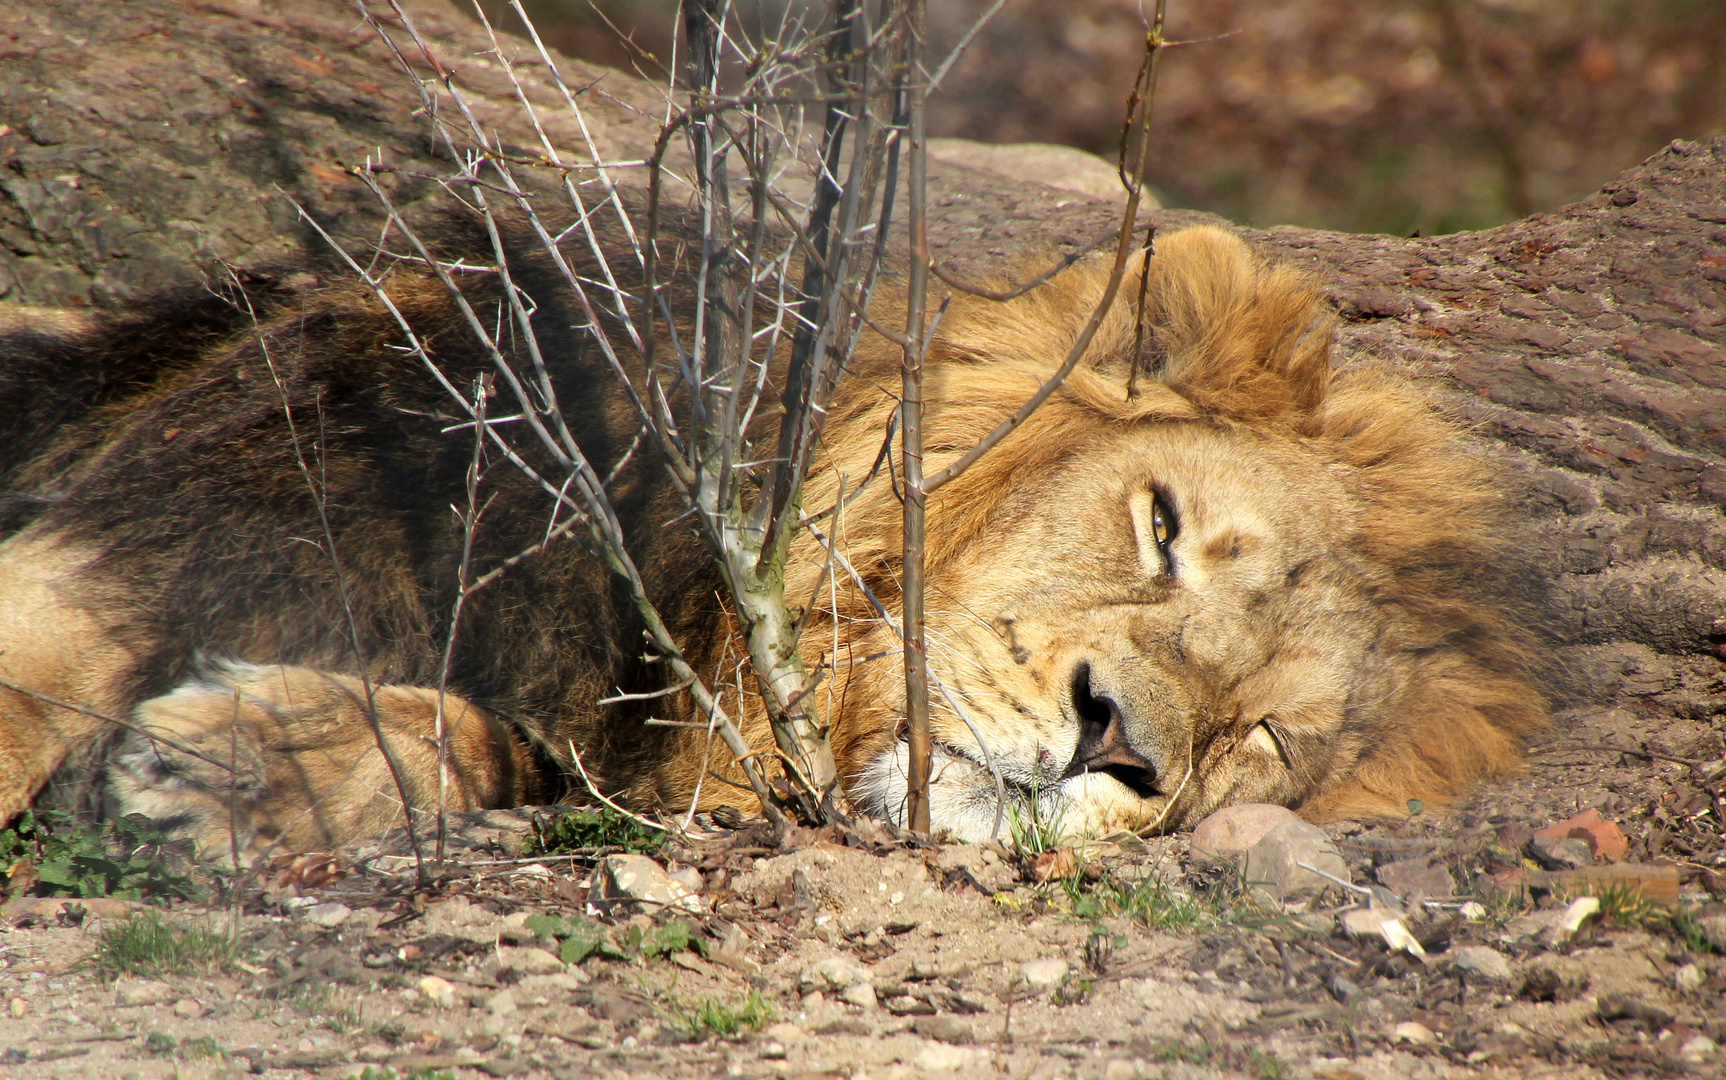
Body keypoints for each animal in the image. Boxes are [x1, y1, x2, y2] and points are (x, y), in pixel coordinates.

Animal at [0, 222, 1553, 852]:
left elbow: (512, 757)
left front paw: (230, 774)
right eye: (1159, 526)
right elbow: (40, 662)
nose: (1112, 740)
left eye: (1262, 738)